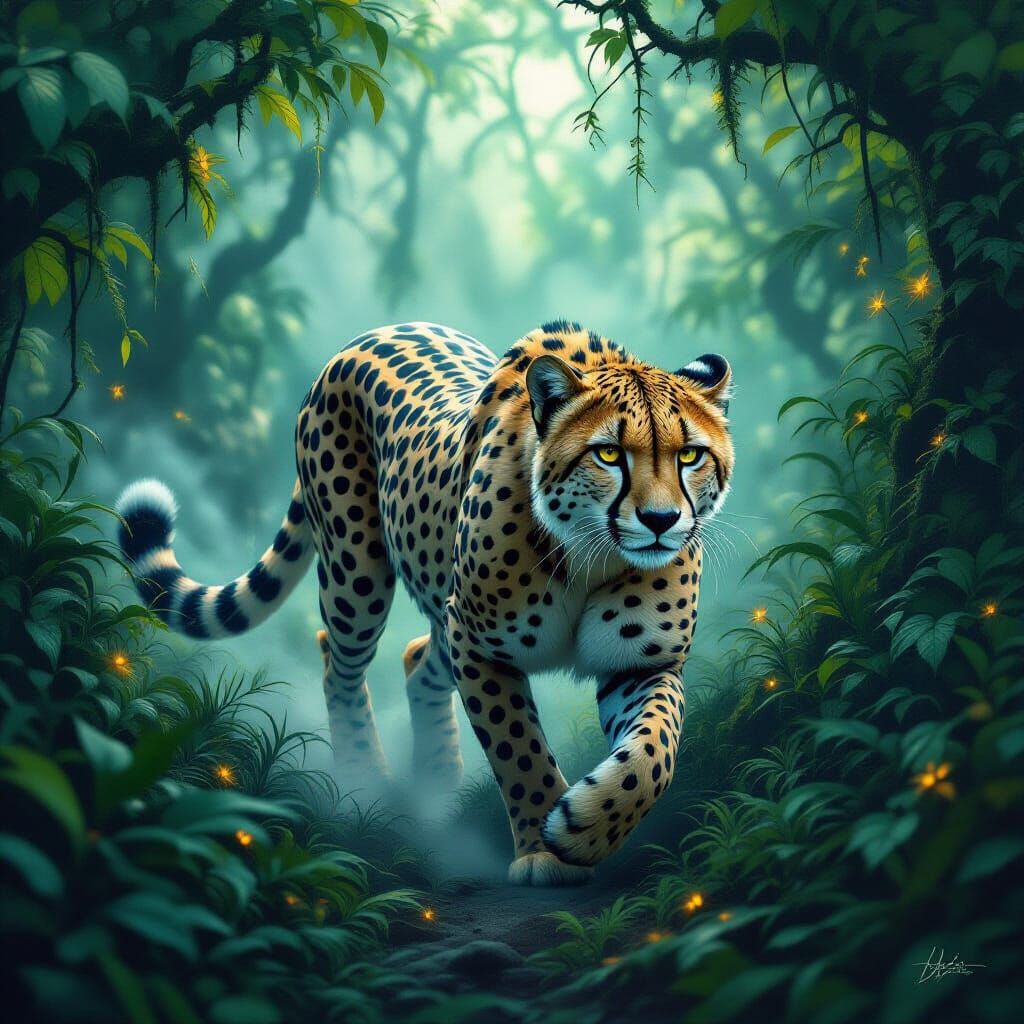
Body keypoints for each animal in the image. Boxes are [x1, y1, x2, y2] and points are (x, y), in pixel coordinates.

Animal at [117, 320, 735, 886]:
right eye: (608, 453)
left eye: (690, 456)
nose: (661, 521)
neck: (591, 555)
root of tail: (369, 333)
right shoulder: (479, 645)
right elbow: (519, 749)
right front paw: (543, 848)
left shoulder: (640, 664)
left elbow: (655, 753)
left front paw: (586, 826)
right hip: (358, 573)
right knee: (338, 661)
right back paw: (365, 780)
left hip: (439, 602)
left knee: (416, 658)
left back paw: (436, 778)